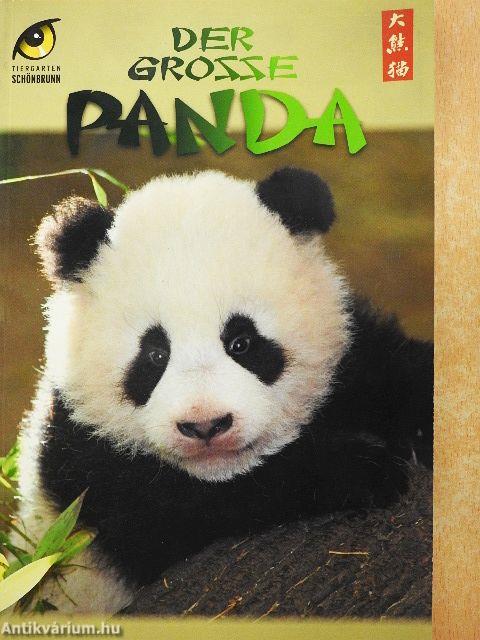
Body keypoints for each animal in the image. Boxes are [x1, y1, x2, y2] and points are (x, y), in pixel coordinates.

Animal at [16, 167, 433, 613]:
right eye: (155, 354)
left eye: (242, 342)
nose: (205, 425)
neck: (219, 470)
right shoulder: (84, 464)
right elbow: (186, 510)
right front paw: (361, 468)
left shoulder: (350, 354)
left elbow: (389, 368)